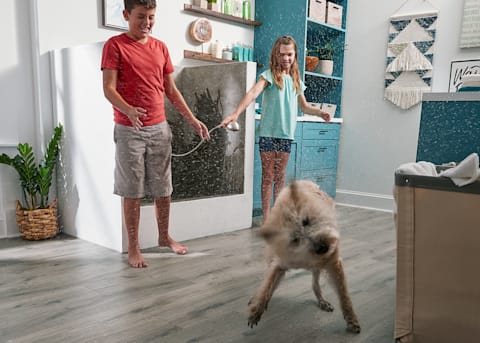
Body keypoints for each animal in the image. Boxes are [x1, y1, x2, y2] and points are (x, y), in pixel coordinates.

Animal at [248, 180, 360, 334]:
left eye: (306, 221)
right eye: (295, 239)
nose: (323, 247)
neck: (305, 255)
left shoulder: (334, 263)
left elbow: (344, 296)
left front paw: (352, 319)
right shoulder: (279, 264)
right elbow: (266, 286)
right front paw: (257, 309)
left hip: (318, 267)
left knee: (315, 284)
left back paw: (322, 300)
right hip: (273, 260)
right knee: (270, 282)